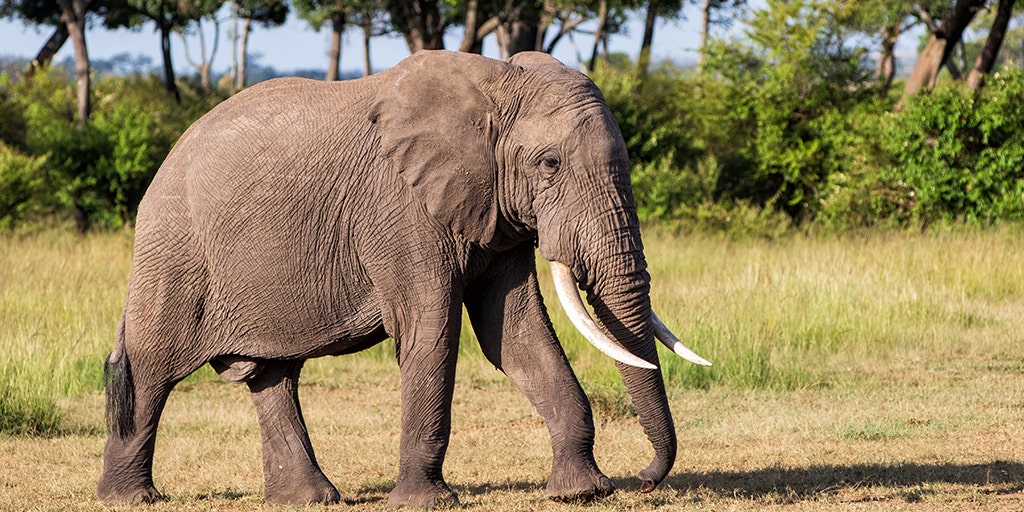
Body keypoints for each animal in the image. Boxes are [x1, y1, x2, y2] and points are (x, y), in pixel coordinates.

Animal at [96, 48, 708, 507]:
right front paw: (427, 502)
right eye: (550, 164)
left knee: (273, 375)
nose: (644, 480)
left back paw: (309, 499)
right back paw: (130, 498)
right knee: (150, 371)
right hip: (172, 251)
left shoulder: (492, 209)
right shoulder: (401, 208)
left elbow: (514, 334)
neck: (495, 83)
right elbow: (431, 331)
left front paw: (582, 493)